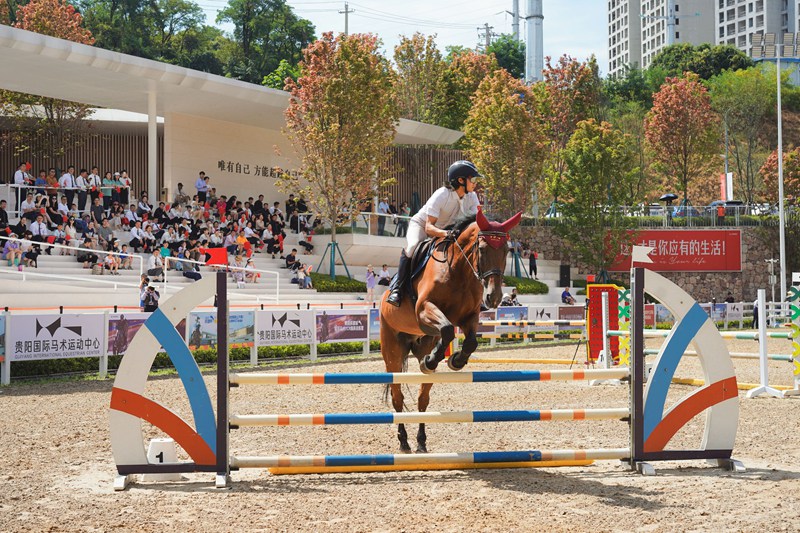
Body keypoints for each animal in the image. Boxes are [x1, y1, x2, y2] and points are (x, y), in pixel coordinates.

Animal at [378, 206, 520, 450]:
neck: (459, 270)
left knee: (422, 399)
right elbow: (445, 328)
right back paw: (404, 441)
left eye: (507, 251)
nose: (493, 298)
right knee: (397, 397)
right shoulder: (424, 309)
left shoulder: (469, 316)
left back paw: (421, 441)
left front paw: (455, 360)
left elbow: (470, 341)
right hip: (392, 351)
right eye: (482, 249)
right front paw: (437, 359)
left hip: (421, 343)